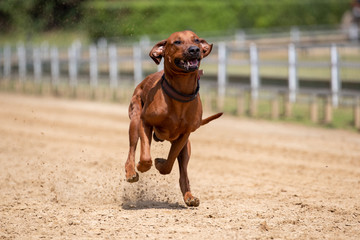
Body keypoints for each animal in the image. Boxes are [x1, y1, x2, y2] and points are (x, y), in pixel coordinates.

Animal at [126, 30, 222, 206]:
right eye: (177, 42)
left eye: (196, 40)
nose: (194, 50)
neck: (181, 93)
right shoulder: (145, 122)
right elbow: (145, 156)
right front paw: (142, 166)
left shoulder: (184, 135)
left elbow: (169, 164)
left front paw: (160, 163)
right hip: (135, 120)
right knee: (132, 149)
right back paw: (130, 171)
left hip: (186, 149)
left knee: (183, 172)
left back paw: (189, 196)